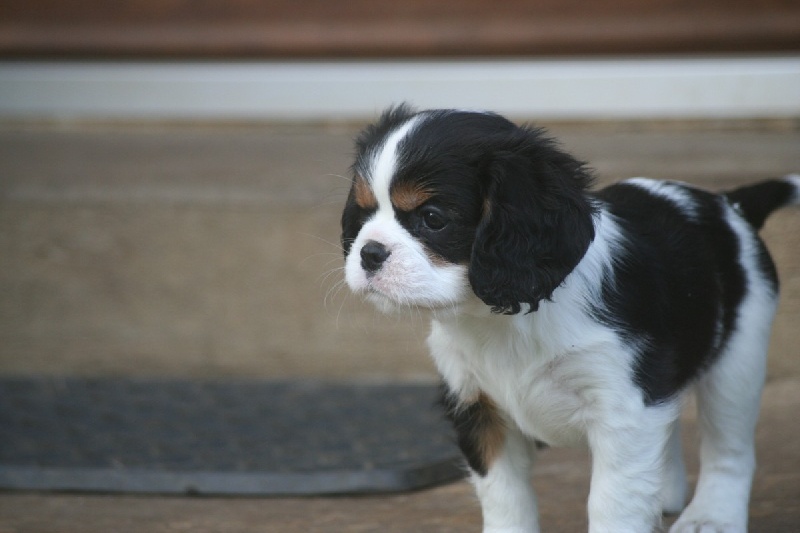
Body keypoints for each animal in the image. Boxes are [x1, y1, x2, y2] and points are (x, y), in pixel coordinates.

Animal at [340, 105, 800, 532]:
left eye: (432, 218)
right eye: (363, 214)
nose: (369, 252)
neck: (502, 318)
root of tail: (727, 204)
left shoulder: (623, 407)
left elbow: (613, 500)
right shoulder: (477, 403)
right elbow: (504, 495)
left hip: (738, 362)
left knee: (729, 450)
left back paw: (712, 516)